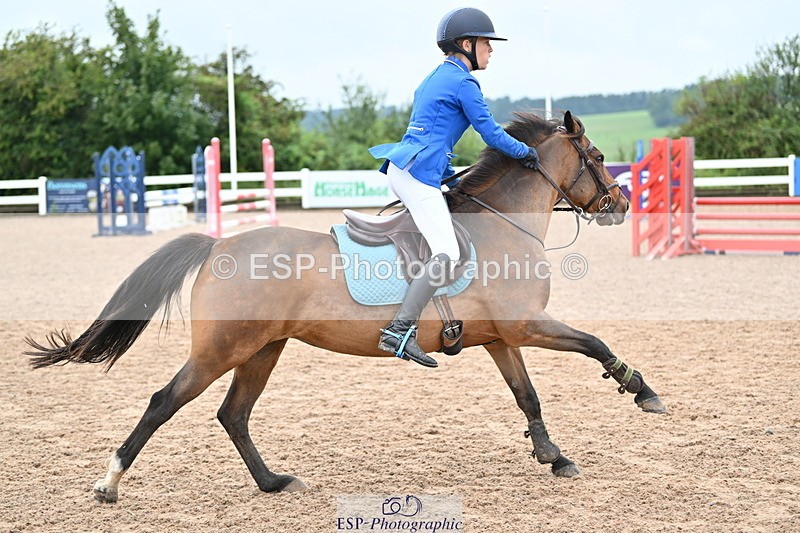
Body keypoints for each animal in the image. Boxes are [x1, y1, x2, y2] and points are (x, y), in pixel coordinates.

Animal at [25, 111, 665, 504]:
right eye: (598, 155)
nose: (621, 203)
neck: (504, 226)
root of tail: (219, 246)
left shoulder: (500, 337)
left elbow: (526, 395)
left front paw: (552, 456)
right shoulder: (527, 326)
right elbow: (595, 344)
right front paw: (642, 391)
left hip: (263, 348)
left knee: (234, 414)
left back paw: (272, 483)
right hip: (222, 349)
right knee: (165, 402)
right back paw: (110, 483)